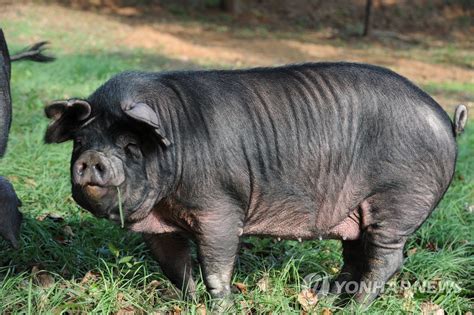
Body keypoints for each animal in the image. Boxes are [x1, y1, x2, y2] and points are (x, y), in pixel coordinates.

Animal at [43, 63, 466, 306]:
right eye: (80, 141)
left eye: (130, 145)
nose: (92, 159)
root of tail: (446, 121)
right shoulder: (159, 225)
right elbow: (174, 266)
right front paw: (189, 302)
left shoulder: (220, 208)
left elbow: (216, 266)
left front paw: (221, 306)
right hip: (355, 209)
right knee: (355, 253)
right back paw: (327, 297)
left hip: (398, 199)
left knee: (387, 258)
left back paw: (356, 307)